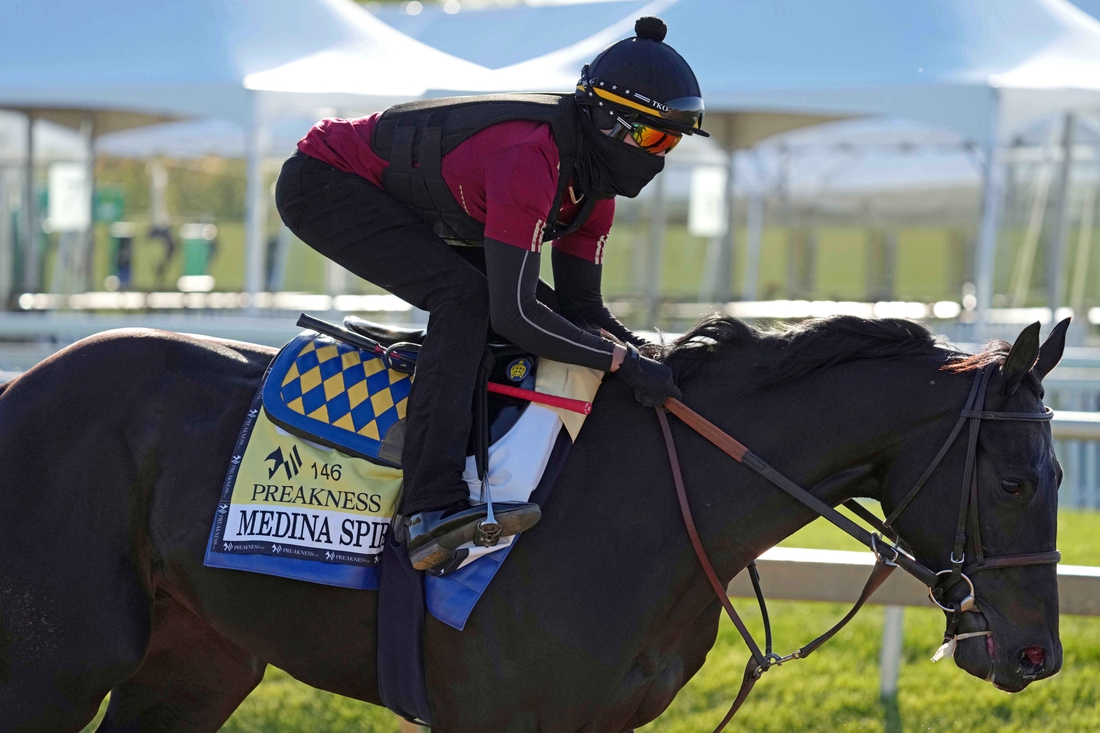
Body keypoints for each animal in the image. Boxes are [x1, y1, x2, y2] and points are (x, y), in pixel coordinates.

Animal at [0, 314, 1064, 730]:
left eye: (1061, 472)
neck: (658, 509)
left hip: (195, 662)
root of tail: (24, 384)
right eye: (1016, 481)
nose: (1036, 655)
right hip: (55, 665)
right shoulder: (499, 715)